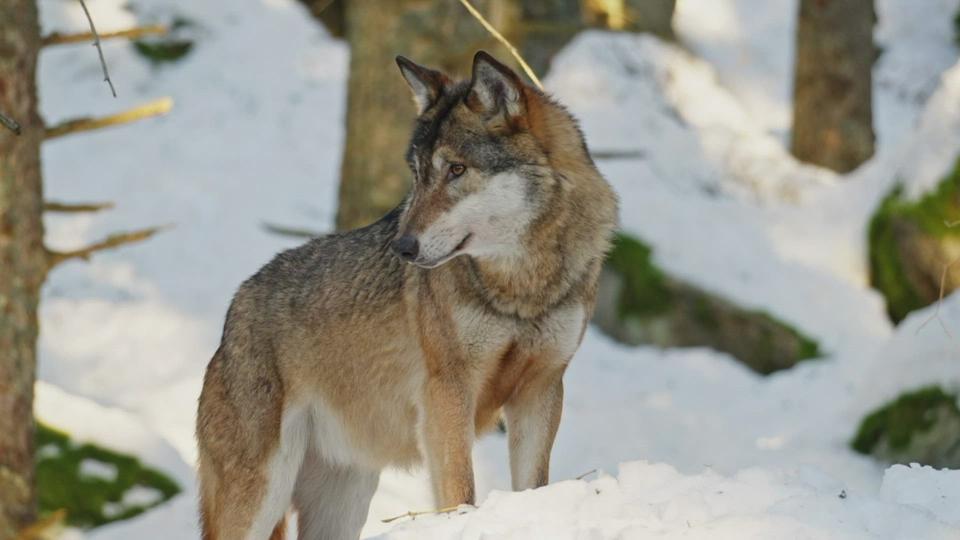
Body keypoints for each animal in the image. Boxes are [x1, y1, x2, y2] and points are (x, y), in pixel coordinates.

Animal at [196, 50, 620, 540]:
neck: (520, 288)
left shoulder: (542, 389)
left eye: (457, 170)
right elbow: (460, 488)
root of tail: (233, 314)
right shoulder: (447, 391)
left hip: (342, 502)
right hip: (261, 496)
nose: (402, 246)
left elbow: (533, 484)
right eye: (417, 175)